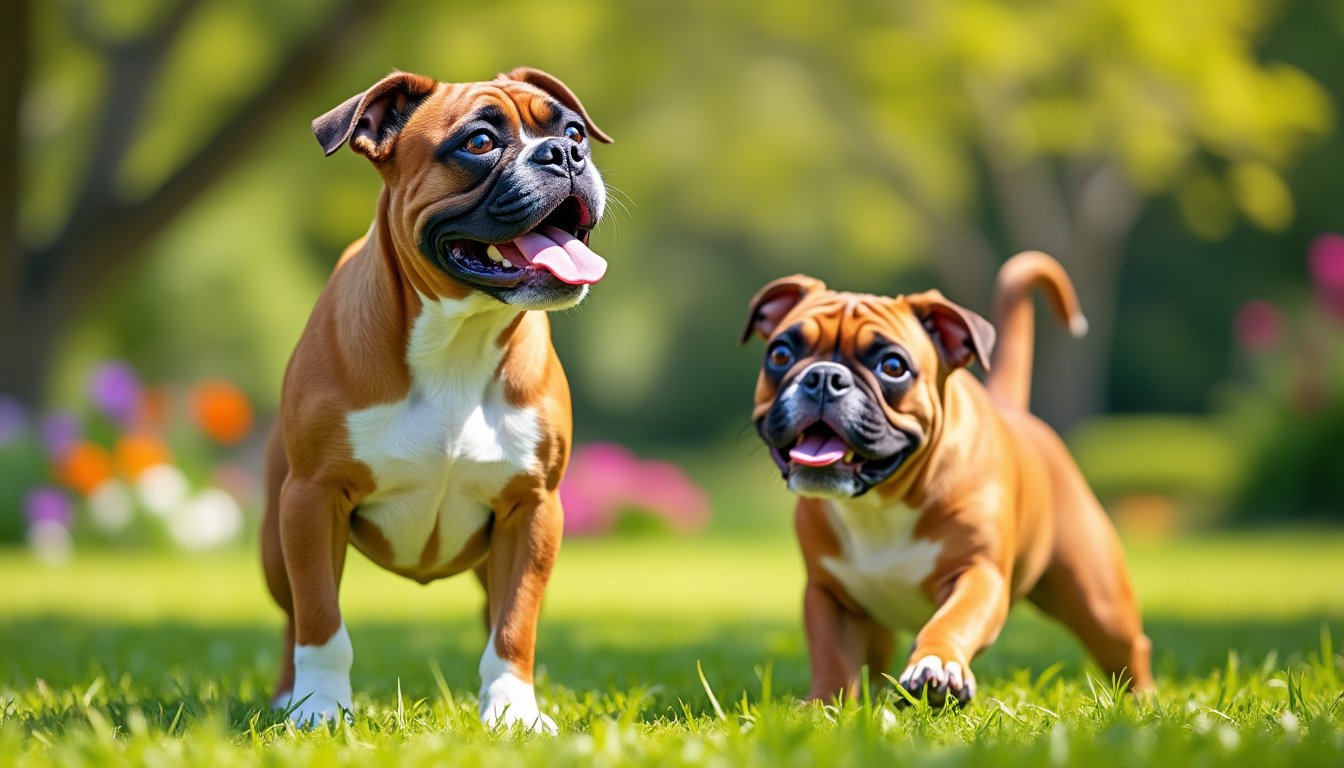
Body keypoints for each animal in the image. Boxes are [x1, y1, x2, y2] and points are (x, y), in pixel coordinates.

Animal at [258, 67, 615, 731]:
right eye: (479, 142)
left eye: (575, 130)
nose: (565, 153)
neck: (460, 337)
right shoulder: (312, 501)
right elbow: (321, 621)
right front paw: (320, 707)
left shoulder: (533, 511)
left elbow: (514, 623)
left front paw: (513, 710)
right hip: (276, 541)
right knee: (292, 615)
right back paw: (286, 695)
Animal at [741, 254, 1150, 710]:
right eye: (780, 353)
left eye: (893, 367)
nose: (824, 376)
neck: (880, 503)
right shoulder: (829, 595)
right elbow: (831, 650)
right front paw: (824, 701)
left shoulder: (976, 574)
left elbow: (953, 620)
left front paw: (935, 667)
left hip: (1099, 602)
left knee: (1128, 648)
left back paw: (1143, 700)